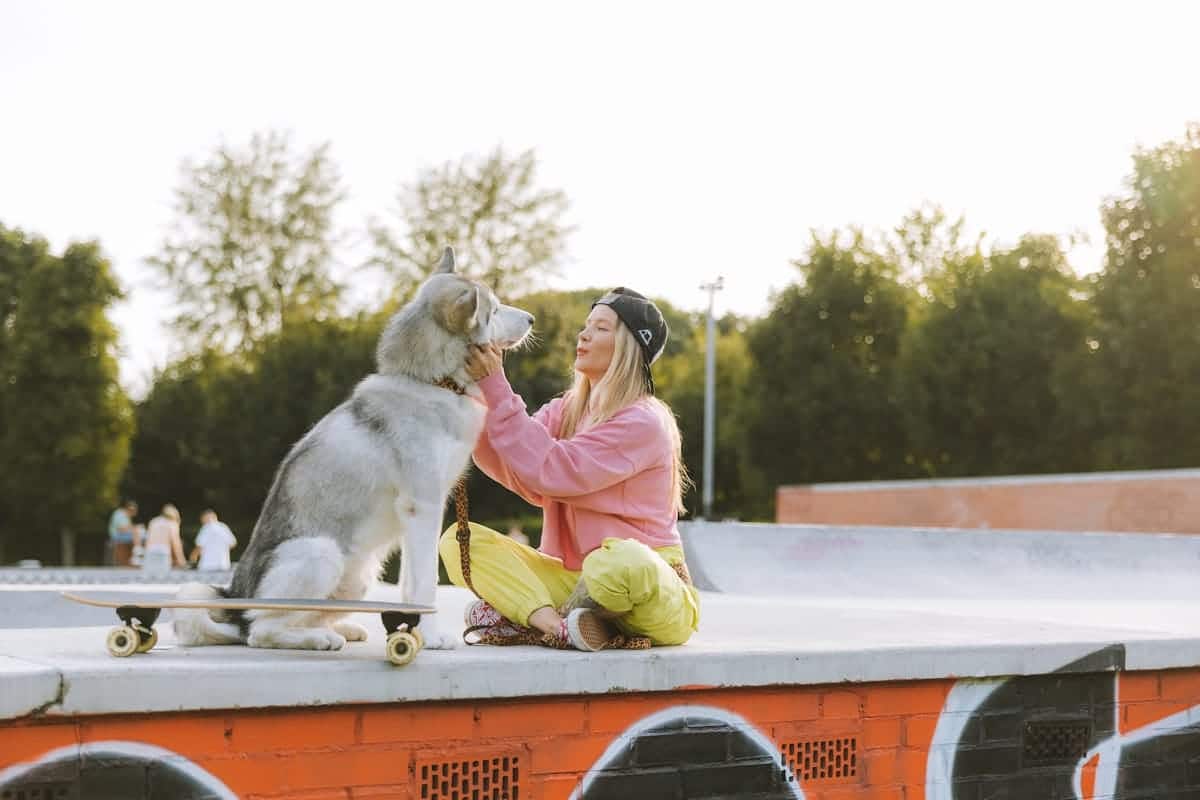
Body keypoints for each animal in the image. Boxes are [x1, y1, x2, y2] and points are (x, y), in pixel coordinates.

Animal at [175, 248, 532, 652]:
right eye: (495, 309)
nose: (533, 318)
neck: (431, 382)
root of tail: (234, 596)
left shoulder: (418, 514)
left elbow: (410, 584)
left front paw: (414, 633)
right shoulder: (423, 506)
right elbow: (425, 584)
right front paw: (433, 637)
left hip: (361, 574)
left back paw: (338, 629)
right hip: (322, 553)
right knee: (259, 631)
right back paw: (317, 639)